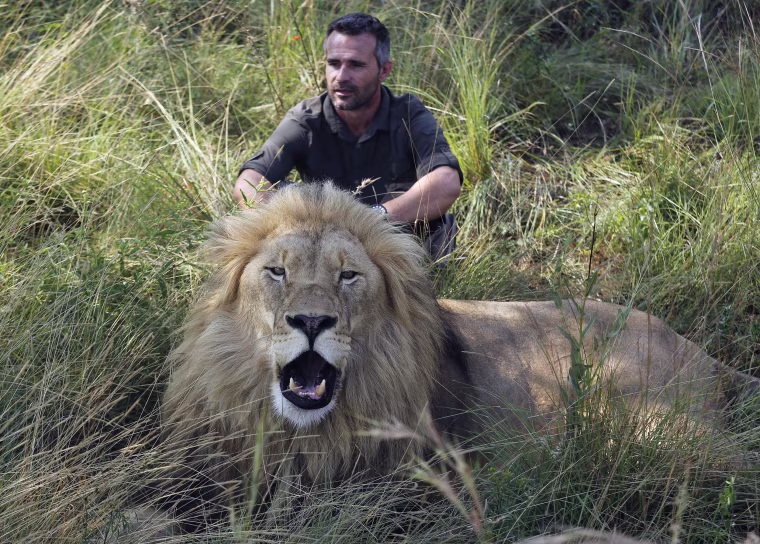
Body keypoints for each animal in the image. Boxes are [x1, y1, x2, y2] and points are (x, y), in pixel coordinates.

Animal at [159, 182, 756, 527]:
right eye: (276, 271)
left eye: (348, 276)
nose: (310, 321)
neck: (305, 431)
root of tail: (701, 352)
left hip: (649, 425)